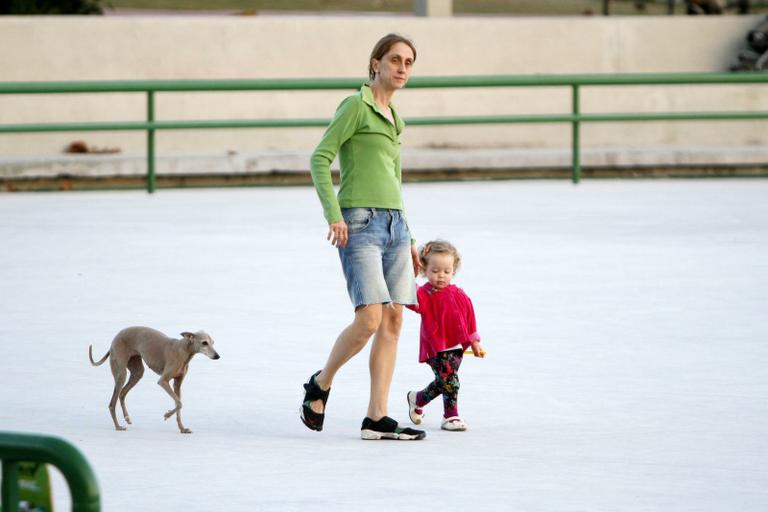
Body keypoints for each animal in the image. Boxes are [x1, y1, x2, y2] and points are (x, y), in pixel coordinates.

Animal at [89, 328, 219, 432]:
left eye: (212, 342)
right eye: (204, 343)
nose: (217, 356)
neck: (184, 349)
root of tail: (114, 339)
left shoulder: (177, 384)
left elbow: (178, 404)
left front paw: (182, 429)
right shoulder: (163, 381)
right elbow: (179, 403)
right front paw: (167, 415)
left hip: (137, 372)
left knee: (122, 393)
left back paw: (127, 418)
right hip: (121, 374)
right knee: (112, 403)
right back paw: (118, 426)